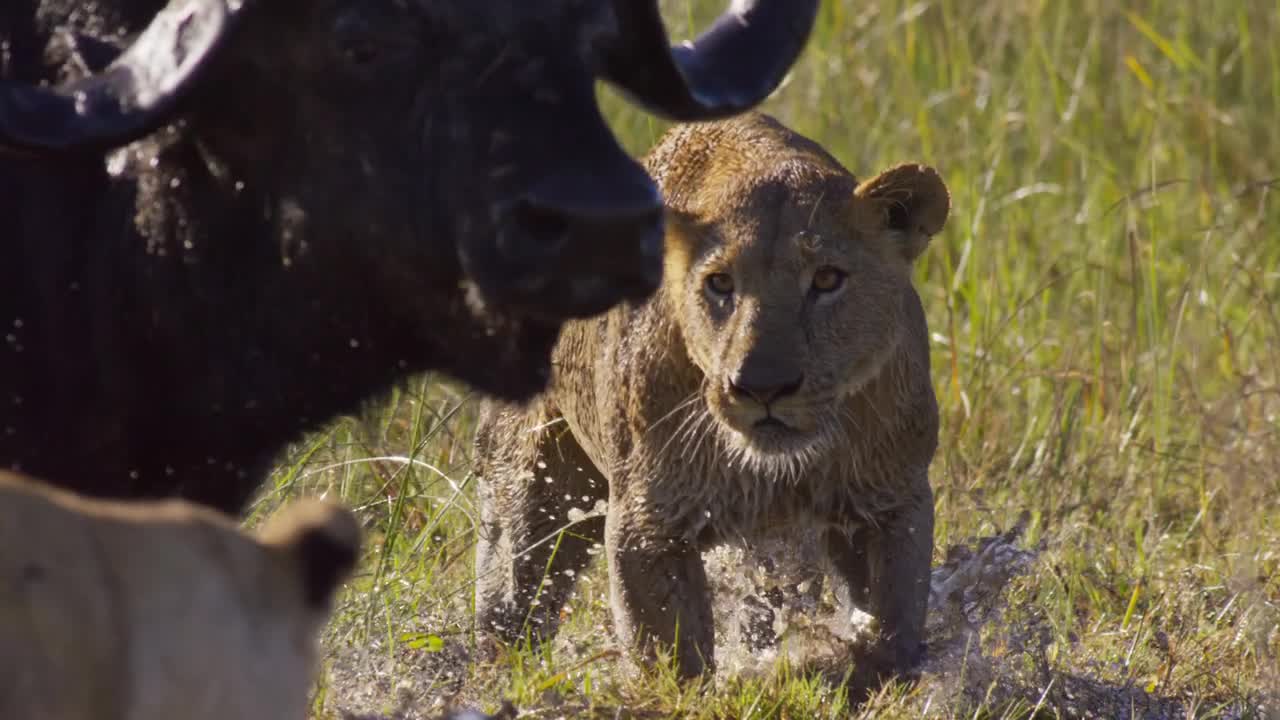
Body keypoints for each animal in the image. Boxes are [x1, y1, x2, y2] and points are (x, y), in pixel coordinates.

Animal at [473, 112, 952, 696]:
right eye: (720, 283)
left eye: (827, 279)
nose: (763, 387)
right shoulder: (648, 522)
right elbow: (670, 658)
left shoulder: (892, 499)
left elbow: (890, 626)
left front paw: (861, 677)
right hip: (533, 480)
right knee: (512, 590)